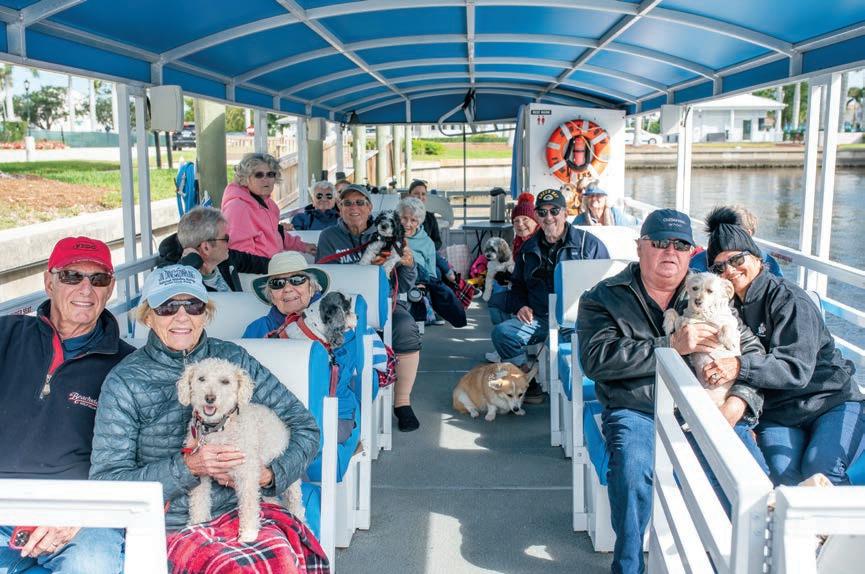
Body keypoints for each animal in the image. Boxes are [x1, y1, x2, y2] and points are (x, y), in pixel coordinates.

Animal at [177, 358, 304, 543]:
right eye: (201, 378)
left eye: (225, 381)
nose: (210, 398)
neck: (218, 428)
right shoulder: (200, 469)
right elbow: (199, 501)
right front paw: (197, 524)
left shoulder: (247, 474)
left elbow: (249, 504)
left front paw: (249, 533)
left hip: (289, 477)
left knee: (296, 503)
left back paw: (301, 522)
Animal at [663, 272, 741, 407]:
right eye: (694, 288)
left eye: (710, 291)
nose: (697, 301)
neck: (703, 315)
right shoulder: (683, 325)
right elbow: (673, 311)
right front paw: (667, 324)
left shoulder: (732, 324)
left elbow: (727, 326)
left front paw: (729, 341)